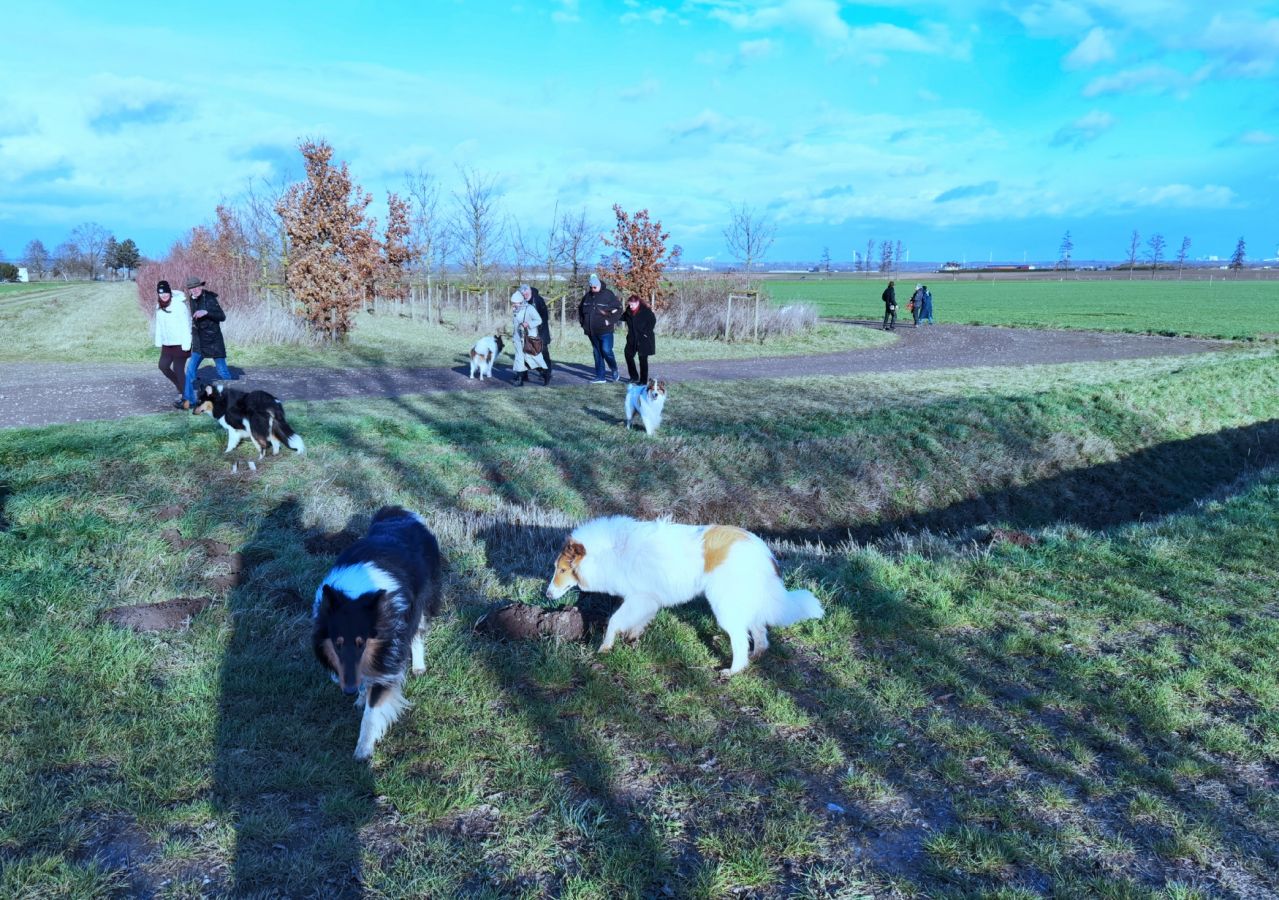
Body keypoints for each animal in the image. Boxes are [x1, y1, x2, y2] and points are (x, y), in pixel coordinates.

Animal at [312, 506, 443, 760]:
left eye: (362, 642)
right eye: (337, 643)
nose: (348, 691)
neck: (356, 595)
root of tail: (399, 512)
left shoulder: (389, 657)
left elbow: (371, 714)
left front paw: (363, 751)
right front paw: (361, 697)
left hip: (424, 599)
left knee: (418, 633)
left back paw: (418, 666)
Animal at [545, 515, 823, 675]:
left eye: (562, 570)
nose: (547, 594)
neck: (611, 551)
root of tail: (764, 553)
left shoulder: (639, 597)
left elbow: (614, 621)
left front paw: (605, 647)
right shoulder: (647, 600)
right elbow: (636, 622)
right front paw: (632, 639)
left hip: (724, 605)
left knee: (740, 639)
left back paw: (733, 670)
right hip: (742, 602)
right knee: (759, 632)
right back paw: (756, 656)